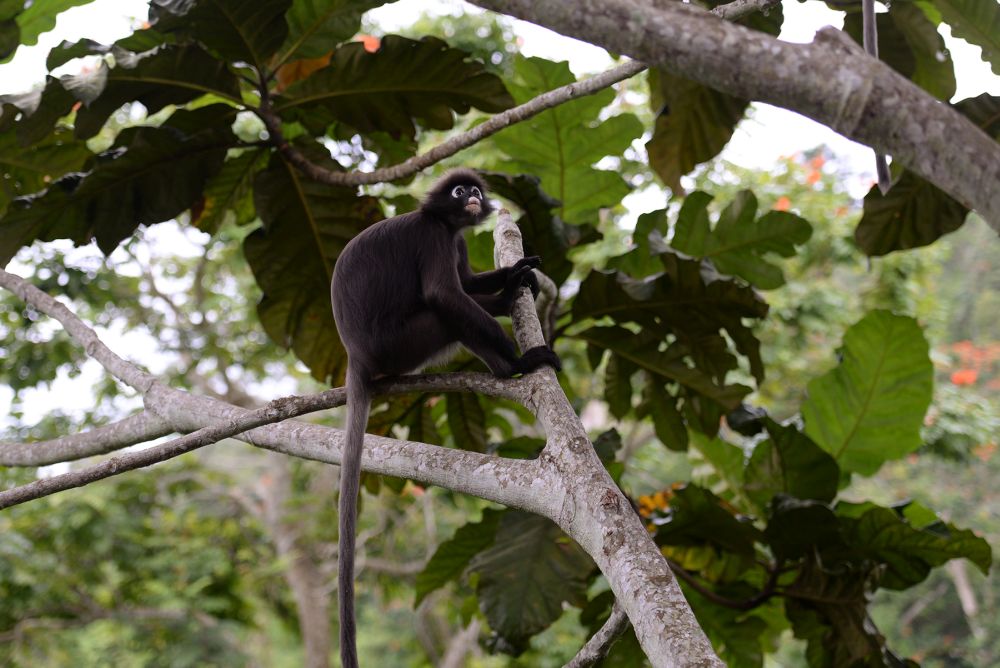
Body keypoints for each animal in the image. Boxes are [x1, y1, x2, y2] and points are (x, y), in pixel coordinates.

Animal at [330, 168, 561, 668]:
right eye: (459, 192)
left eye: (474, 191)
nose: (471, 197)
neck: (445, 222)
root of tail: (356, 356)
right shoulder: (433, 237)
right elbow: (445, 293)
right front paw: (515, 341)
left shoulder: (453, 240)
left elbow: (468, 283)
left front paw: (514, 275)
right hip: (401, 344)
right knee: (444, 312)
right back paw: (512, 365)